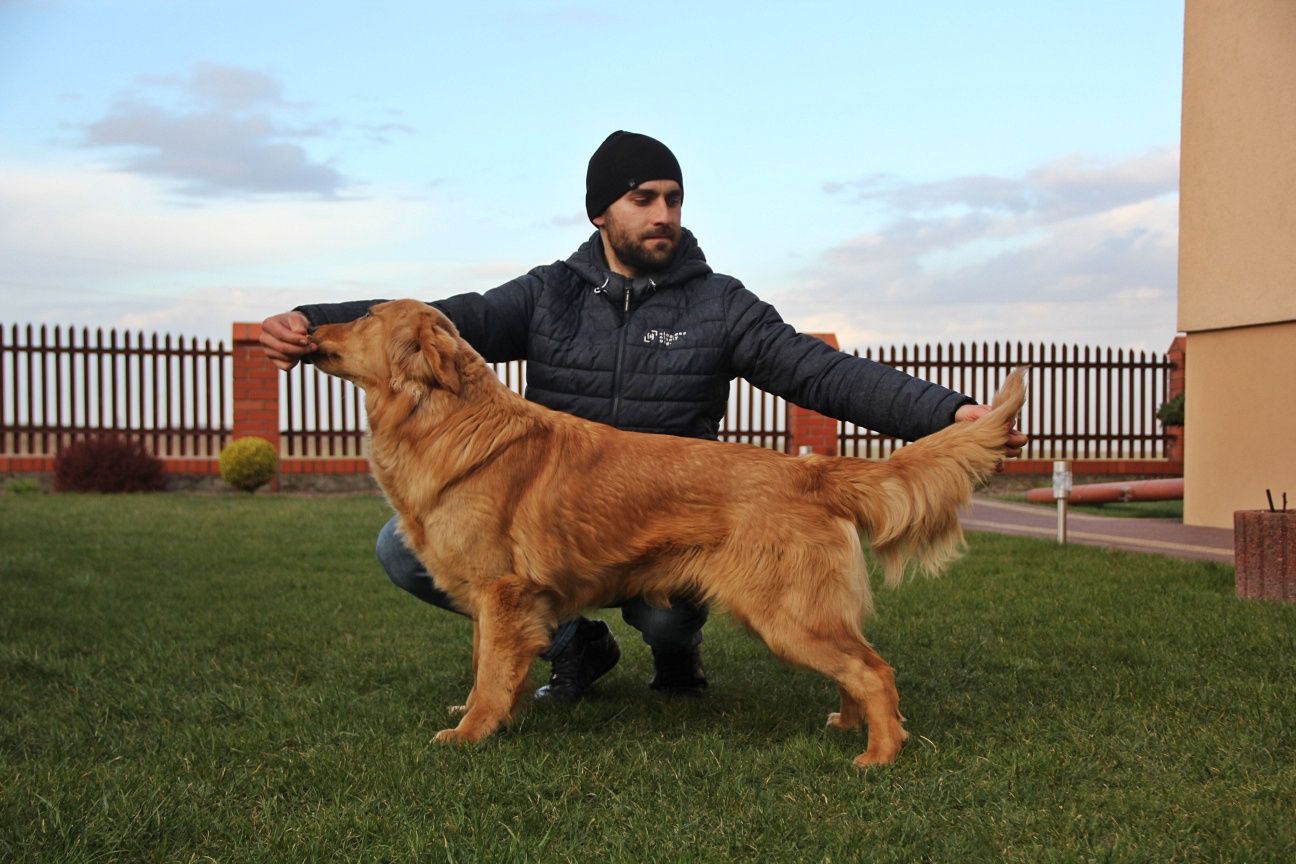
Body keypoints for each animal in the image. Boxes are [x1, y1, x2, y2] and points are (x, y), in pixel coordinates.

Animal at [308, 300, 1026, 766]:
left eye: (366, 317)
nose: (310, 324)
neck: (442, 415)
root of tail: (811, 471)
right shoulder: (501, 602)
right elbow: (485, 664)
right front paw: (482, 715)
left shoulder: (503, 592)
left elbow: (489, 674)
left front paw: (472, 735)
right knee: (858, 667)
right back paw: (850, 727)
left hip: (786, 616)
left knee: (874, 670)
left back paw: (880, 753)